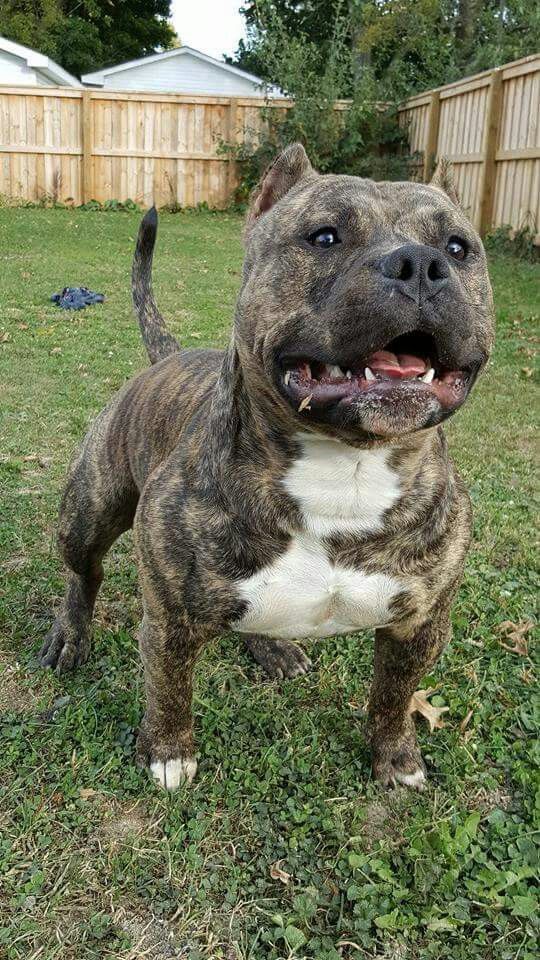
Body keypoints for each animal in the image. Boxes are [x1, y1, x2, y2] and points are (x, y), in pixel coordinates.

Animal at [39, 141, 494, 788]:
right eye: (325, 237)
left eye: (458, 247)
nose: (421, 263)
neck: (345, 469)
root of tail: (169, 357)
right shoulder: (170, 621)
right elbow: (169, 688)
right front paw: (168, 752)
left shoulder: (419, 625)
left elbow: (393, 695)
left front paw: (396, 757)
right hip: (90, 510)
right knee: (84, 574)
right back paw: (70, 636)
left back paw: (271, 647)